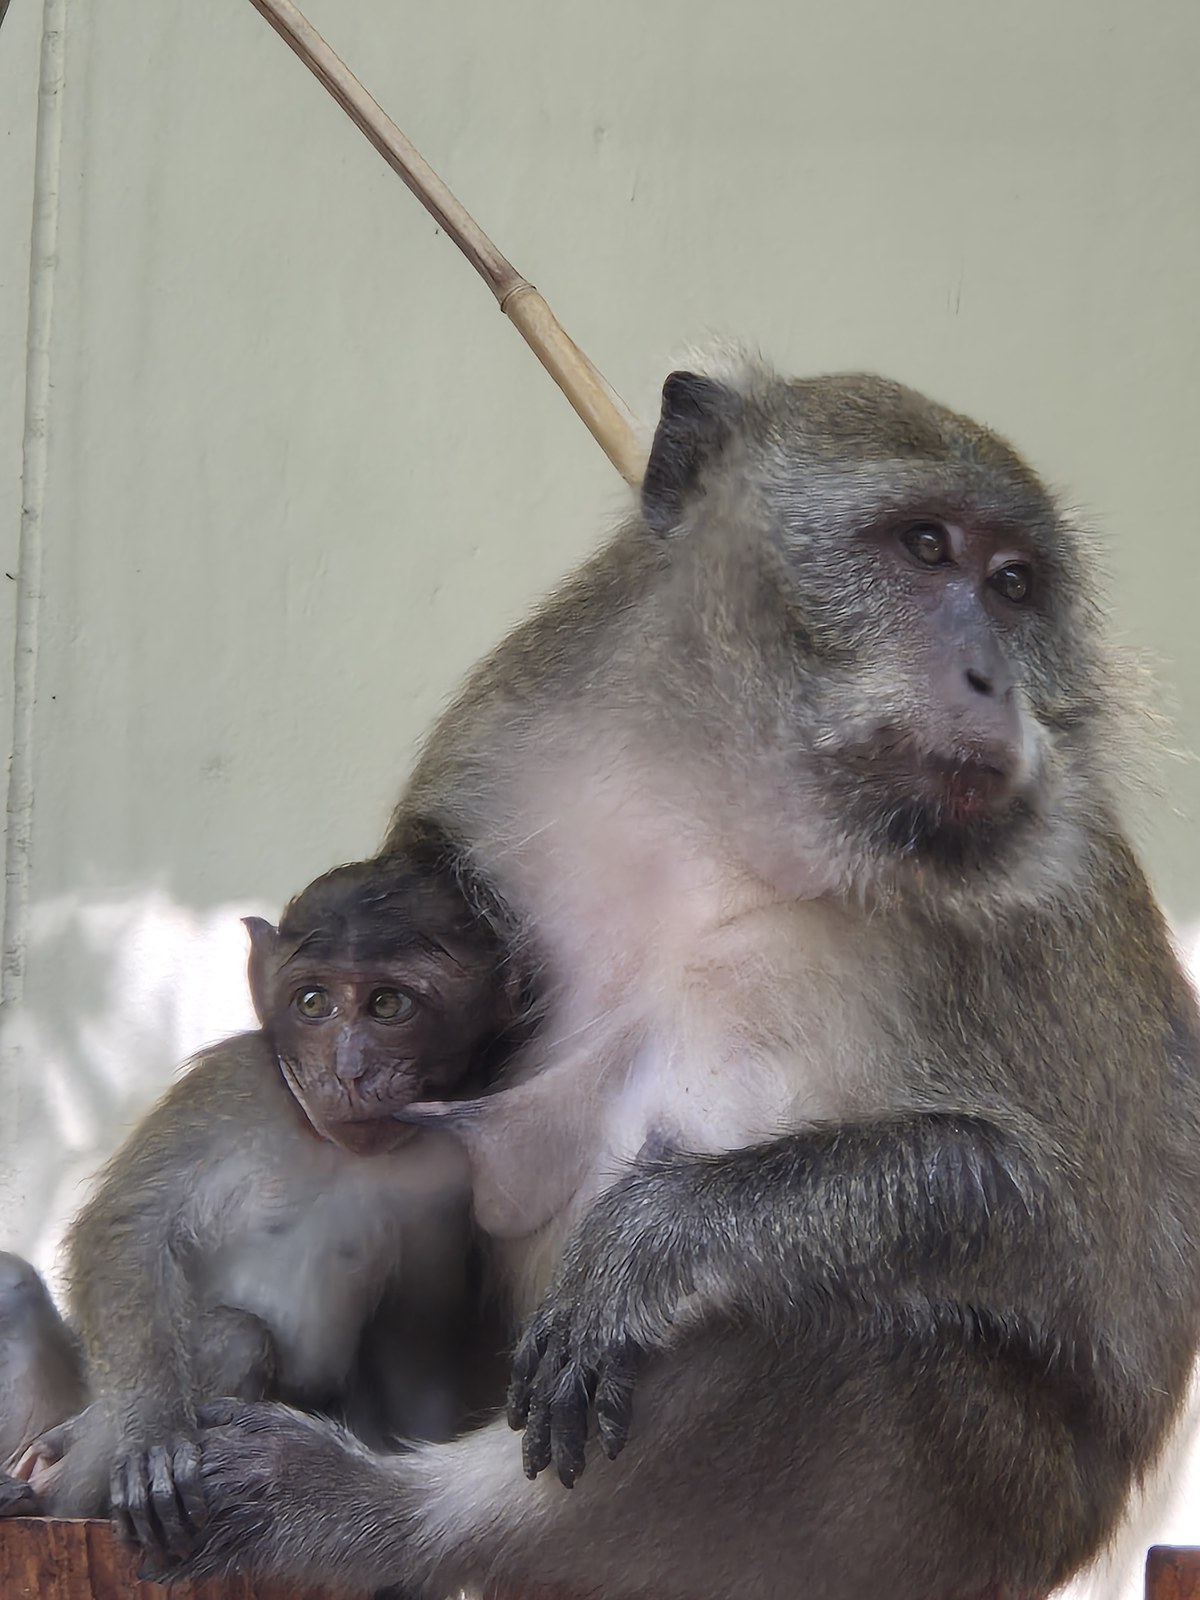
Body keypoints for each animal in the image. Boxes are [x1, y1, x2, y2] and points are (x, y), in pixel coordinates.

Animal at [15, 849, 518, 1541]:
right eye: (313, 1001)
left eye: (389, 1004)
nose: (347, 1070)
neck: (333, 1147)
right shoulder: (235, 1082)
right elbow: (127, 1227)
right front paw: (154, 1440)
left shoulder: (453, 1167)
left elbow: (417, 1327)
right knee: (233, 1336)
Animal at [128, 359, 1200, 1600]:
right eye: (926, 546)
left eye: (1016, 584)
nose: (991, 679)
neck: (730, 795)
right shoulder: (502, 745)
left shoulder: (1040, 894)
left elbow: (1060, 1223)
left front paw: (649, 1235)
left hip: (965, 1494)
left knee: (845, 1326)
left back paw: (374, 1514)